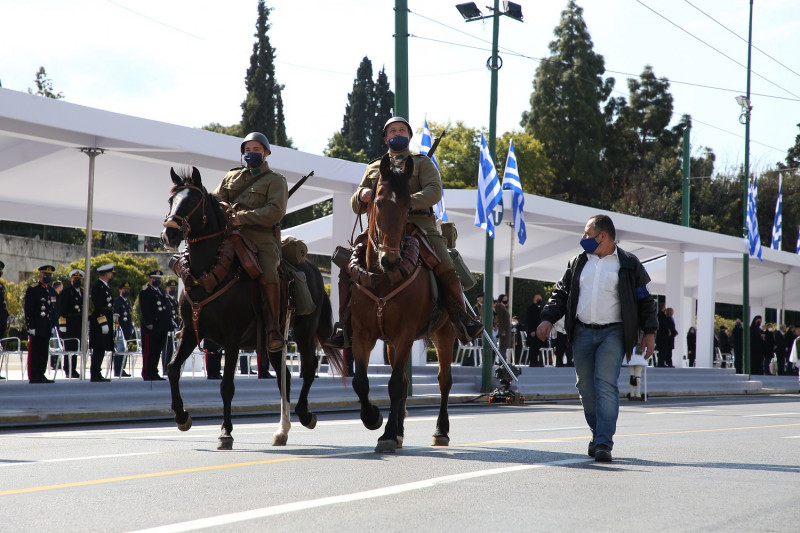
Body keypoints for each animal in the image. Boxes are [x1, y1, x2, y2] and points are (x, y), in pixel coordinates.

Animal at [161, 167, 342, 448]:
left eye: (193, 201)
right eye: (172, 200)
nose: (169, 234)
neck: (208, 274)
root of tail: (311, 266)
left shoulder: (233, 338)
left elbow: (226, 385)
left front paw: (225, 432)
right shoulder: (190, 332)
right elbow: (172, 369)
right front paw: (182, 417)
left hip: (303, 332)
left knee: (309, 368)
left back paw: (304, 414)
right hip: (274, 340)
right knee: (284, 376)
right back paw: (282, 430)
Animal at [350, 154, 456, 454]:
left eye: (409, 205)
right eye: (377, 201)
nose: (391, 260)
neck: (381, 278)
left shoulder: (405, 333)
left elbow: (396, 384)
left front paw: (385, 434)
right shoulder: (363, 334)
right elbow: (361, 381)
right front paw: (373, 418)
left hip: (444, 333)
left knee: (444, 381)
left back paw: (440, 431)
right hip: (392, 343)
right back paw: (399, 431)